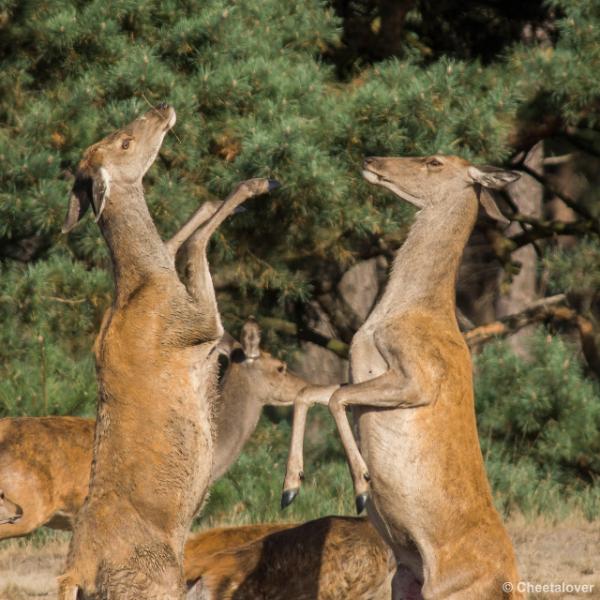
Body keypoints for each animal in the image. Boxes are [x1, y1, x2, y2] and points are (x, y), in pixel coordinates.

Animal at [56, 103, 276, 600]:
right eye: (123, 142)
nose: (160, 108)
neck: (144, 284)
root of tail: (77, 571)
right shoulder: (198, 326)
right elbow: (193, 246)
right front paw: (253, 185)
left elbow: (176, 241)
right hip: (154, 580)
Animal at [284, 156, 524, 600]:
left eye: (434, 160)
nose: (371, 159)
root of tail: (510, 585)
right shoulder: (357, 374)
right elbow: (310, 392)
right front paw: (290, 488)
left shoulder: (419, 378)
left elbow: (335, 398)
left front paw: (363, 488)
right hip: (405, 578)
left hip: (449, 590)